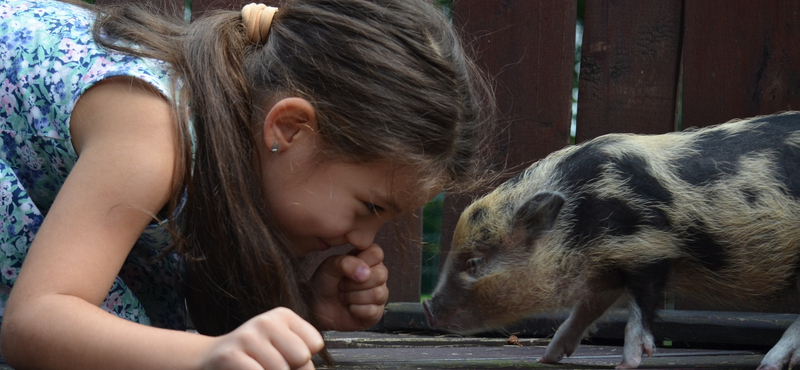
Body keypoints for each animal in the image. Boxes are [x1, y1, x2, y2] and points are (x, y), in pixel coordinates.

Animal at [424, 111, 800, 368]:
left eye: (475, 262)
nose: (428, 308)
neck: (583, 217)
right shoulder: (606, 270)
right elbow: (585, 311)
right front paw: (547, 357)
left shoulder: (650, 248)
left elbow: (640, 310)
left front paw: (626, 364)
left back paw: (769, 364)